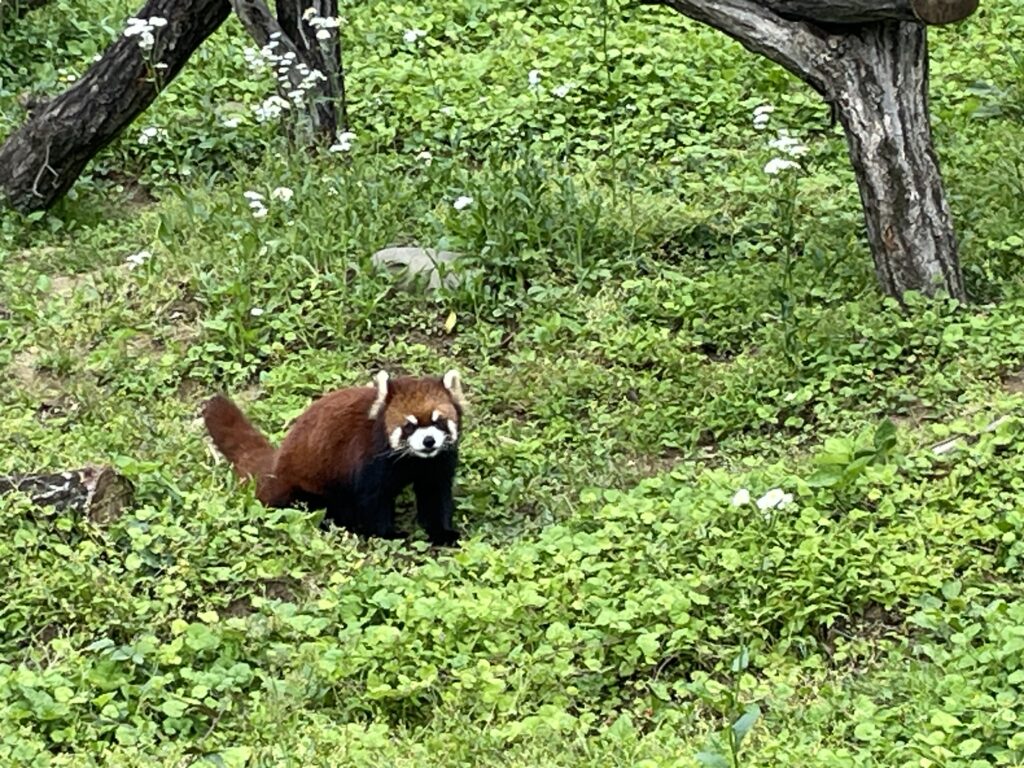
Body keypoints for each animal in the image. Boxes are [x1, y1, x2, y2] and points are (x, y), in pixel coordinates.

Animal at [201, 370, 466, 548]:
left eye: (438, 421)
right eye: (410, 425)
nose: (428, 441)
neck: (413, 460)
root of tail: (275, 466)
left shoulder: (436, 463)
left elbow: (434, 495)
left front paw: (443, 533)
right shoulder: (369, 459)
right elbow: (373, 501)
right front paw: (388, 534)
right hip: (306, 489)